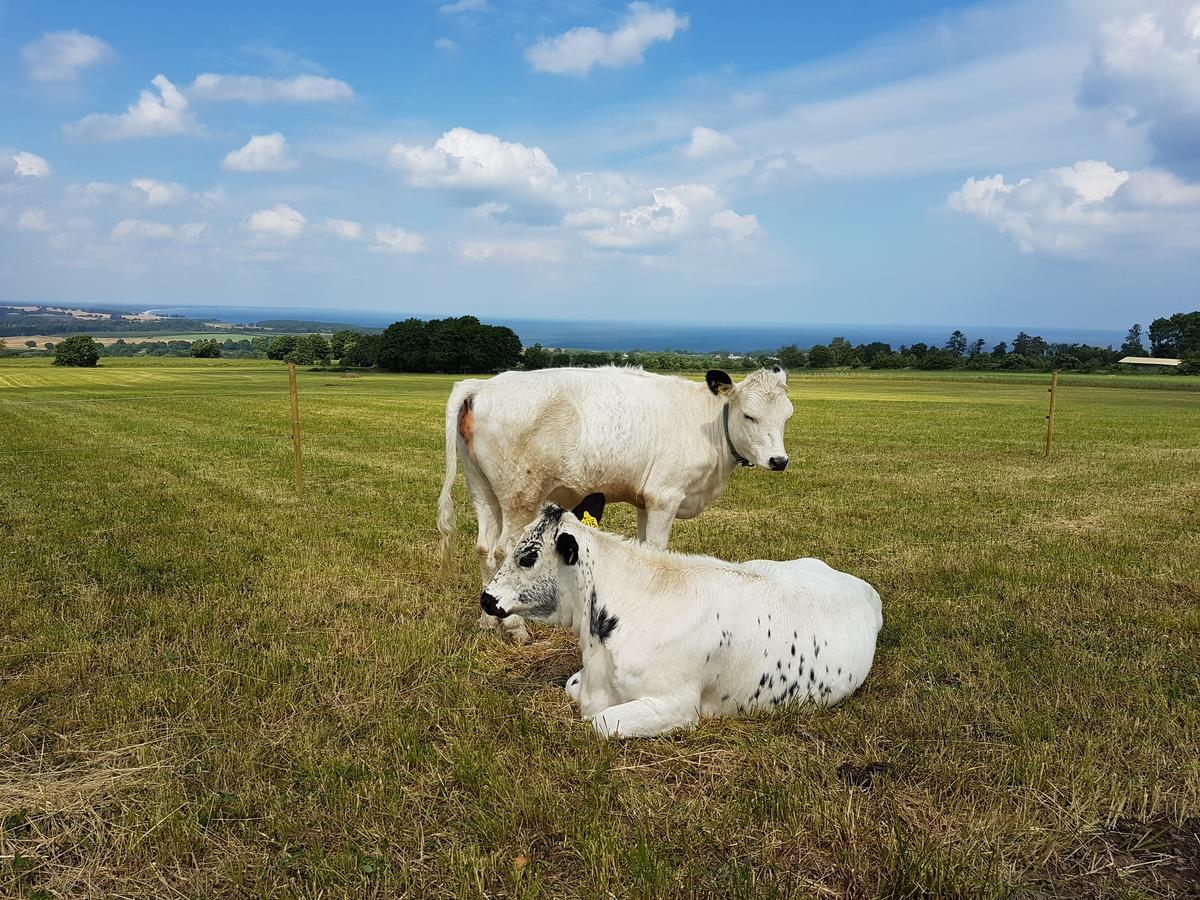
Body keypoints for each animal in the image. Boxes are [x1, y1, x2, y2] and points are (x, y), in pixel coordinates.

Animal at [436, 362, 792, 643]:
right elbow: (658, 551)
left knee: (484, 548)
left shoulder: (646, 501)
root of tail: (482, 385)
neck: (708, 424)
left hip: (482, 490)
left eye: (788, 416)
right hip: (519, 496)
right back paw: (515, 627)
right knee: (503, 550)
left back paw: (488, 620)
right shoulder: (665, 497)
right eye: (749, 416)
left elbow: (644, 550)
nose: (779, 460)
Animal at [477, 496, 883, 734]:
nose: (486, 599)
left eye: (527, 557)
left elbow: (603, 723)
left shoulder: (676, 705)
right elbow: (570, 685)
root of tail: (859, 584)